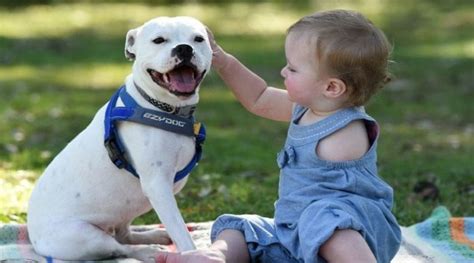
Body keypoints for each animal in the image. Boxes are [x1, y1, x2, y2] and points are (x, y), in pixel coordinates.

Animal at [25, 16, 211, 262]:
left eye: (198, 39)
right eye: (159, 40)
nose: (184, 48)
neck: (163, 108)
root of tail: (33, 237)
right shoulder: (158, 186)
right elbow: (181, 231)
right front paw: (194, 254)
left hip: (124, 210)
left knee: (124, 236)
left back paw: (154, 237)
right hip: (85, 237)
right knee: (119, 247)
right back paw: (150, 252)